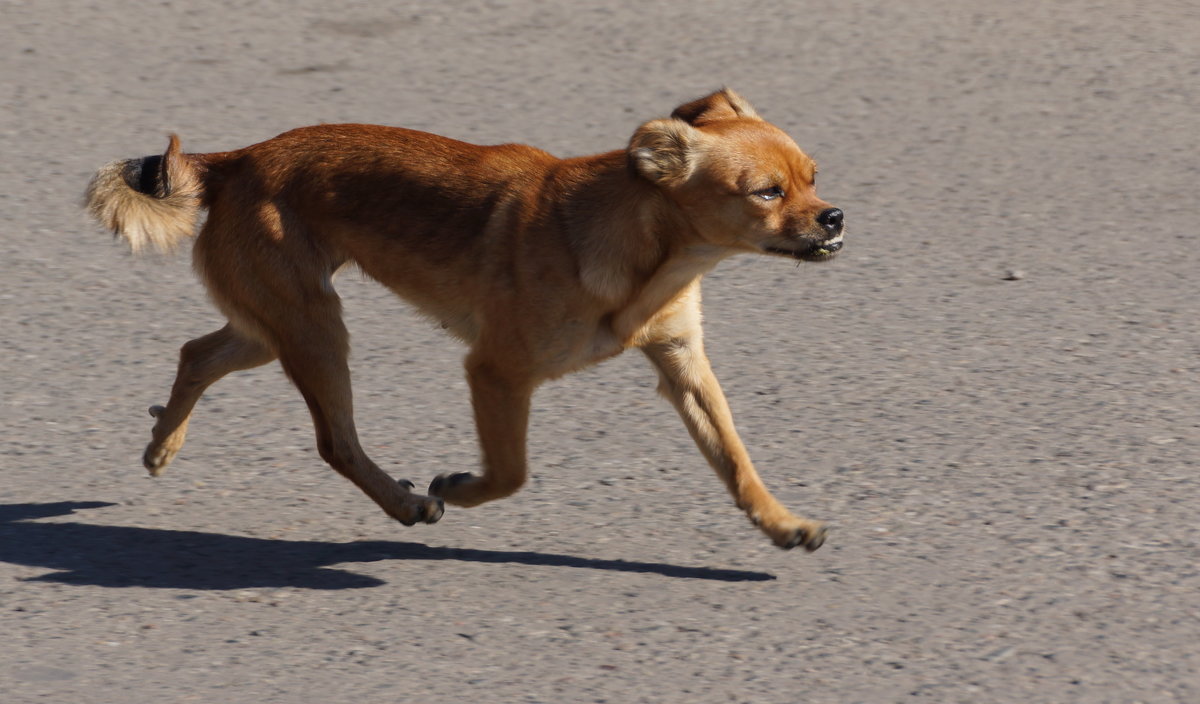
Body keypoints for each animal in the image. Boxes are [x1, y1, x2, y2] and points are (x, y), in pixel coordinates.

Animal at [87, 88, 844, 551]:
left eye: (813, 178)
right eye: (766, 193)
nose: (835, 217)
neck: (650, 260)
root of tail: (239, 159)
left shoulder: (684, 368)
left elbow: (736, 459)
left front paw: (780, 523)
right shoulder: (496, 373)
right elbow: (511, 473)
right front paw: (455, 486)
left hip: (272, 326)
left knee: (197, 353)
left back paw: (163, 444)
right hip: (314, 330)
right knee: (335, 441)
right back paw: (403, 504)